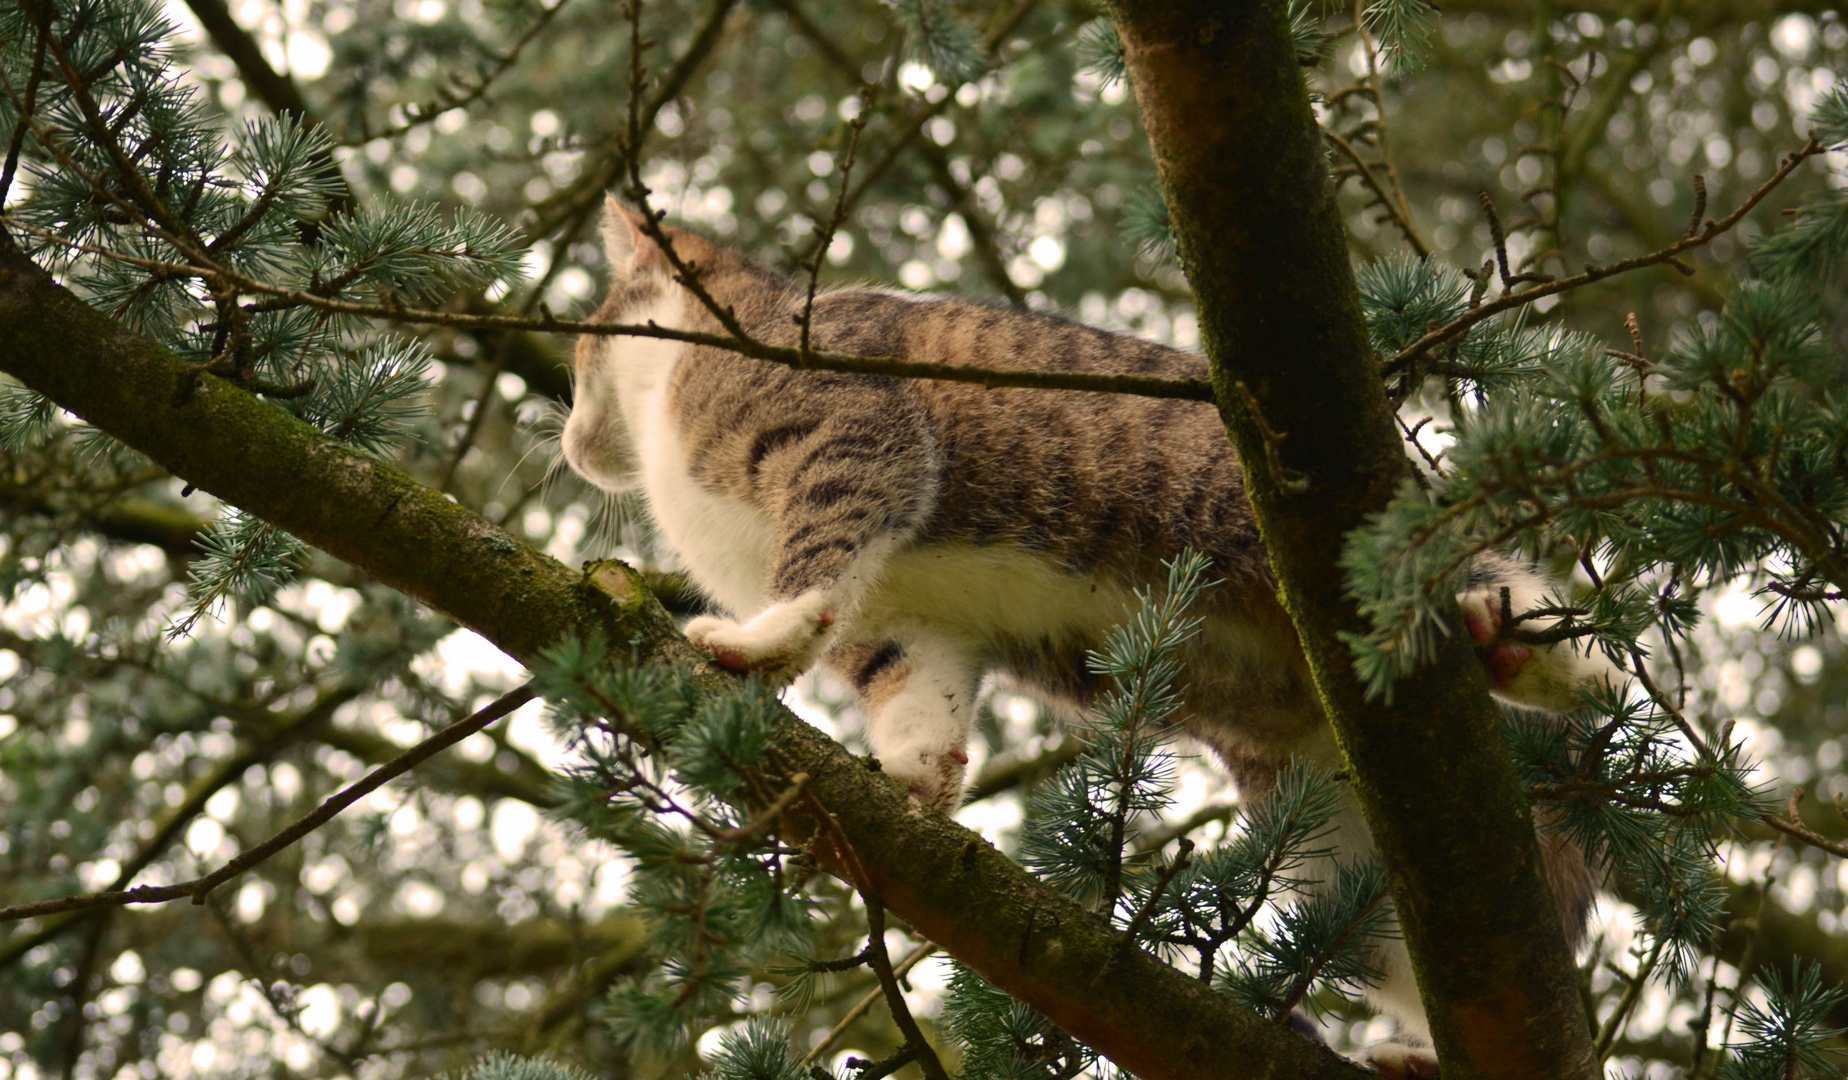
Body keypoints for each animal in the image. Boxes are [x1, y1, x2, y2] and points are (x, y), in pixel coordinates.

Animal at [561, 197, 1618, 1072]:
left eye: (577, 359)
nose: (567, 447)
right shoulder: (907, 619)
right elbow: (913, 683)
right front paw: (912, 776)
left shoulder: (851, 432)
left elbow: (820, 557)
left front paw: (756, 641)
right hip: (1345, 840)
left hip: (1290, 514)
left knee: (1474, 568)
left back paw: (1529, 648)